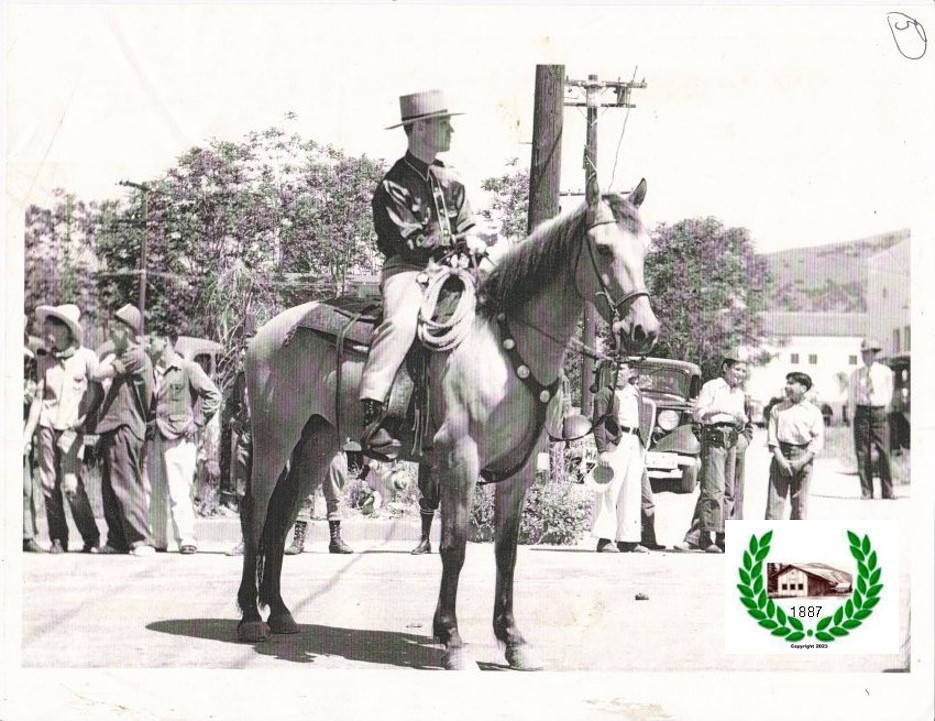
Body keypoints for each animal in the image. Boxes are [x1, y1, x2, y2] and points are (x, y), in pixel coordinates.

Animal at [236, 174, 660, 668]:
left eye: (644, 249)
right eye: (604, 249)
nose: (643, 331)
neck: (508, 345)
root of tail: (268, 330)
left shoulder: (518, 472)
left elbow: (506, 552)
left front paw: (513, 640)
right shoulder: (460, 460)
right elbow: (454, 546)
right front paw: (452, 639)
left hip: (318, 444)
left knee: (282, 514)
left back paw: (280, 611)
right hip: (273, 438)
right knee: (256, 510)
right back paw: (250, 616)